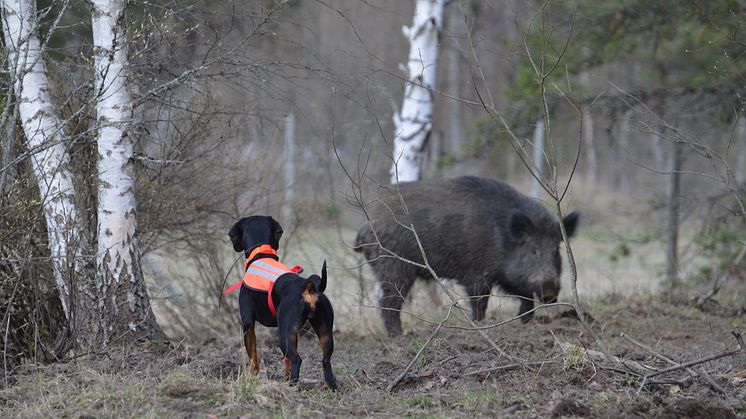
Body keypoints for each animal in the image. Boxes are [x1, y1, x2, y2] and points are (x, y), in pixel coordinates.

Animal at [222, 217, 336, 390]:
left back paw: (292, 386)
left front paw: (252, 378)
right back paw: (332, 386)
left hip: (283, 333)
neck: (261, 254)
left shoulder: (248, 323)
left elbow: (253, 357)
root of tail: (309, 288)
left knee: (297, 359)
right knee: (325, 360)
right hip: (324, 332)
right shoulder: (295, 333)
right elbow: (285, 362)